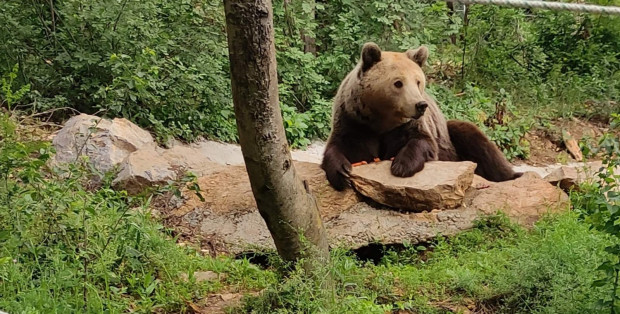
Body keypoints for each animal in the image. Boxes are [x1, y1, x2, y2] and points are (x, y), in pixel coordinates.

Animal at [322, 42, 520, 190]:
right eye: (398, 83)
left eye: (418, 81)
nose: (420, 105)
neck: (382, 120)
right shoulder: (354, 121)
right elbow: (341, 146)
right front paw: (342, 172)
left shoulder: (409, 125)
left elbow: (423, 141)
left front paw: (401, 165)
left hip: (449, 135)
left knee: (474, 139)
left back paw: (513, 175)